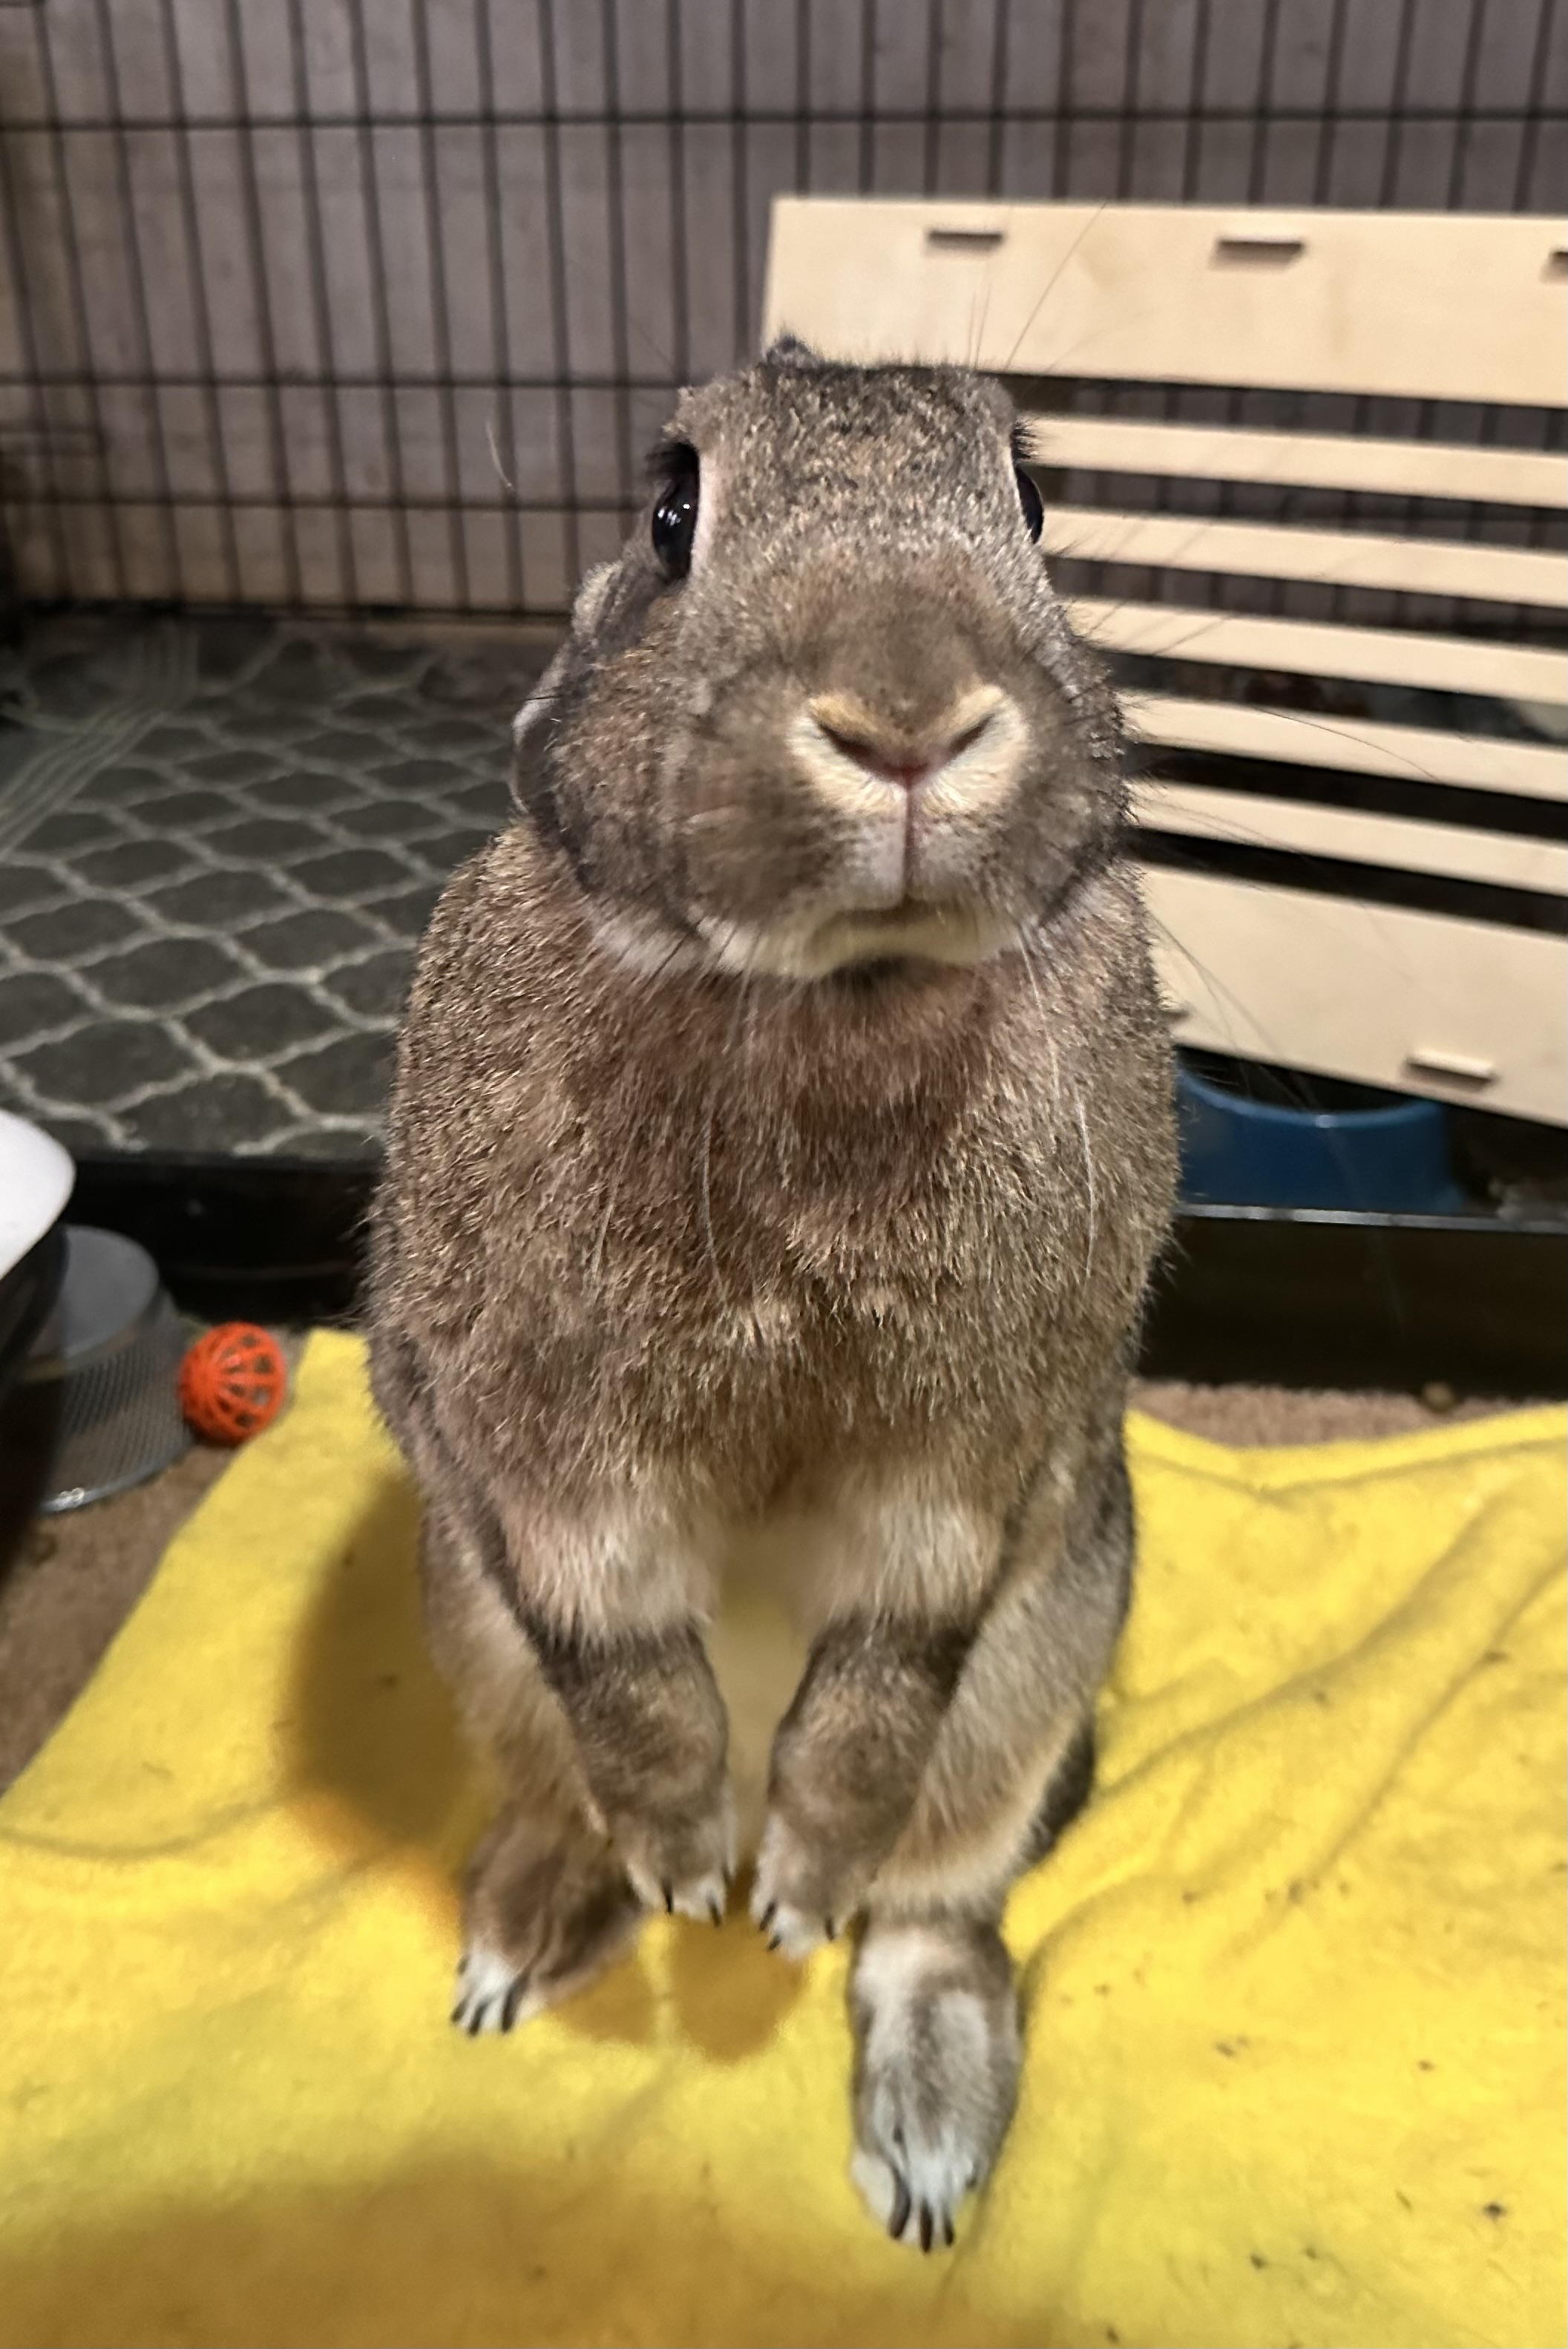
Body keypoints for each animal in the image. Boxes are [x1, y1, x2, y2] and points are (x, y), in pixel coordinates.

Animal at [367, 335, 1177, 2251]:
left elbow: (880, 1675)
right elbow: (622, 1657)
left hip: (1033, 1683)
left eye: (1033, 504)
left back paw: (924, 2139)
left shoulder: (973, 1472)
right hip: (478, 1646)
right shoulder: (532, 1458)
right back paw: (547, 1933)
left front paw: (794, 1887)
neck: (833, 998)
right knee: (562, 1788)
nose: (906, 719)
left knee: (940, 1910)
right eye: (671, 512)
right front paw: (683, 1858)